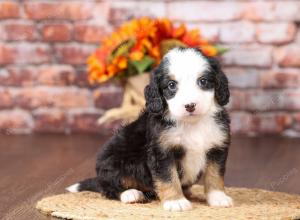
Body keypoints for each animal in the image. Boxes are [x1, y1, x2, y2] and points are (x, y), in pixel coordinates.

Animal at [67, 47, 233, 211]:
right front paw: (175, 201)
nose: (190, 105)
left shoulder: (217, 147)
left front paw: (218, 197)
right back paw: (131, 194)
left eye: (203, 81)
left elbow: (214, 174)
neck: (192, 124)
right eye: (171, 85)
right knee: (109, 188)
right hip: (112, 160)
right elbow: (168, 177)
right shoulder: (161, 151)